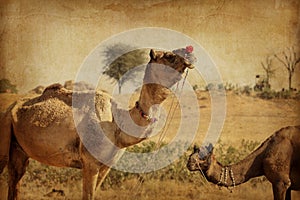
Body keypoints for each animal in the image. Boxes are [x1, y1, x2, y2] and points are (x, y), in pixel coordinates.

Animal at [0, 48, 195, 200]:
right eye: (169, 56)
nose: (189, 58)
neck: (117, 123)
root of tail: (11, 107)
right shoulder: (90, 162)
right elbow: (88, 195)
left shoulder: (106, 166)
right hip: (5, 128)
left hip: (19, 150)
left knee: (15, 179)